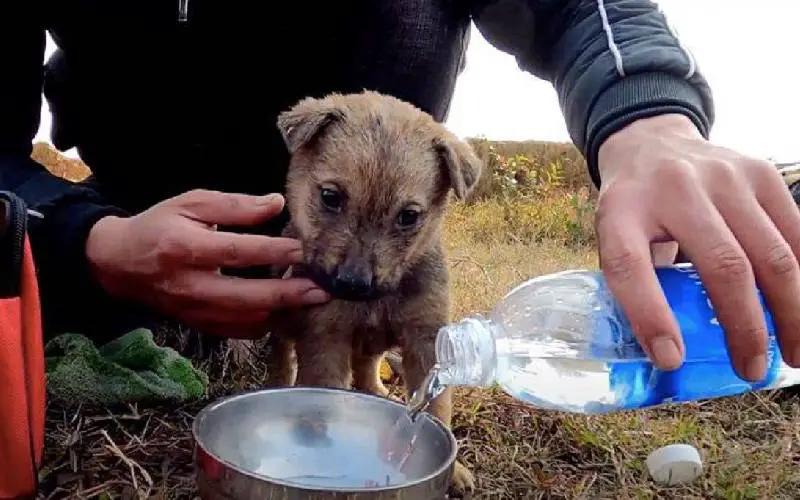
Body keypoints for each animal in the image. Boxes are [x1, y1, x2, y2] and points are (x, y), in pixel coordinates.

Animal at [266, 91, 484, 496]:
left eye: (409, 216)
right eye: (330, 196)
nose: (354, 285)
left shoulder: (426, 339)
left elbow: (437, 408)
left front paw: (454, 470)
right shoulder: (325, 336)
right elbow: (324, 392)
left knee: (367, 365)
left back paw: (375, 391)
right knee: (282, 354)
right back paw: (279, 384)